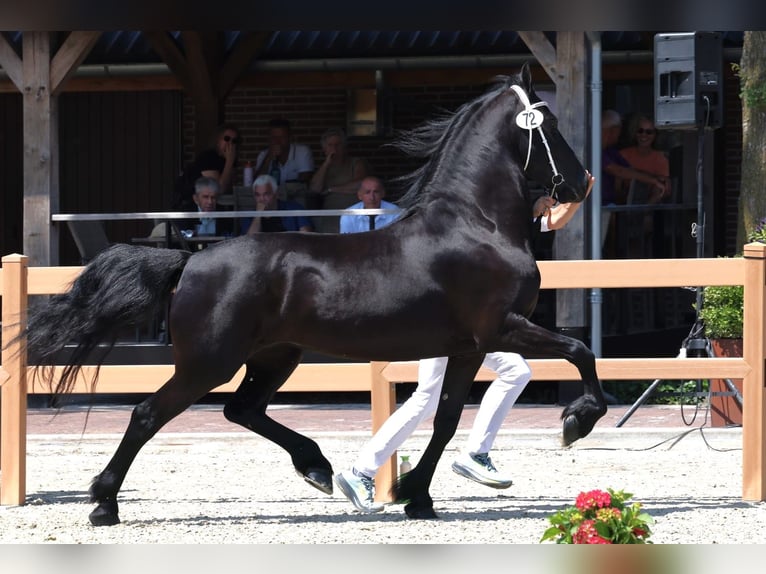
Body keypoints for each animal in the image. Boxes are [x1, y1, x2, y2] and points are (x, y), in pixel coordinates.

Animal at [24, 63, 606, 526]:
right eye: (550, 125)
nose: (581, 183)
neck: (475, 223)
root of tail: (191, 259)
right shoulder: (502, 328)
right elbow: (581, 350)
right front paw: (576, 422)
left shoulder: (468, 347)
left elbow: (444, 419)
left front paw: (418, 498)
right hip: (210, 362)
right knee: (149, 414)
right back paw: (104, 505)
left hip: (275, 356)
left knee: (241, 410)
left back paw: (319, 468)